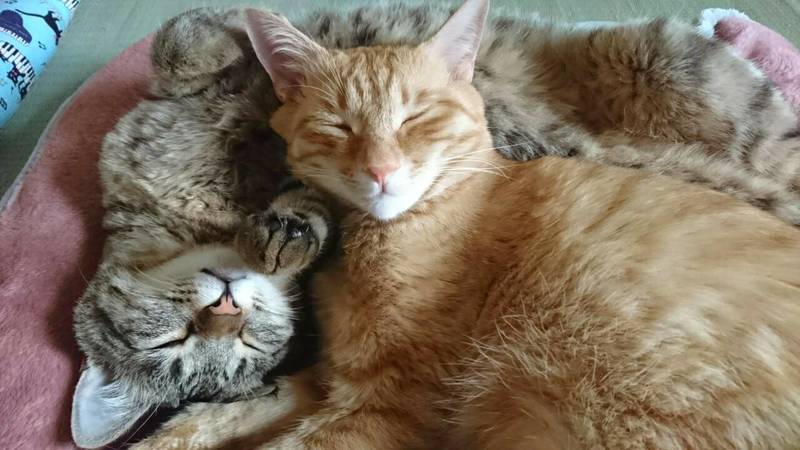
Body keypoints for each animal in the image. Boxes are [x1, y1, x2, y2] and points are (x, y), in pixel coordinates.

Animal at [120, 2, 800, 448]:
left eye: (416, 117)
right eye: (337, 125)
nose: (381, 170)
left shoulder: (384, 408)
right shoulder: (327, 383)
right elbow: (213, 418)